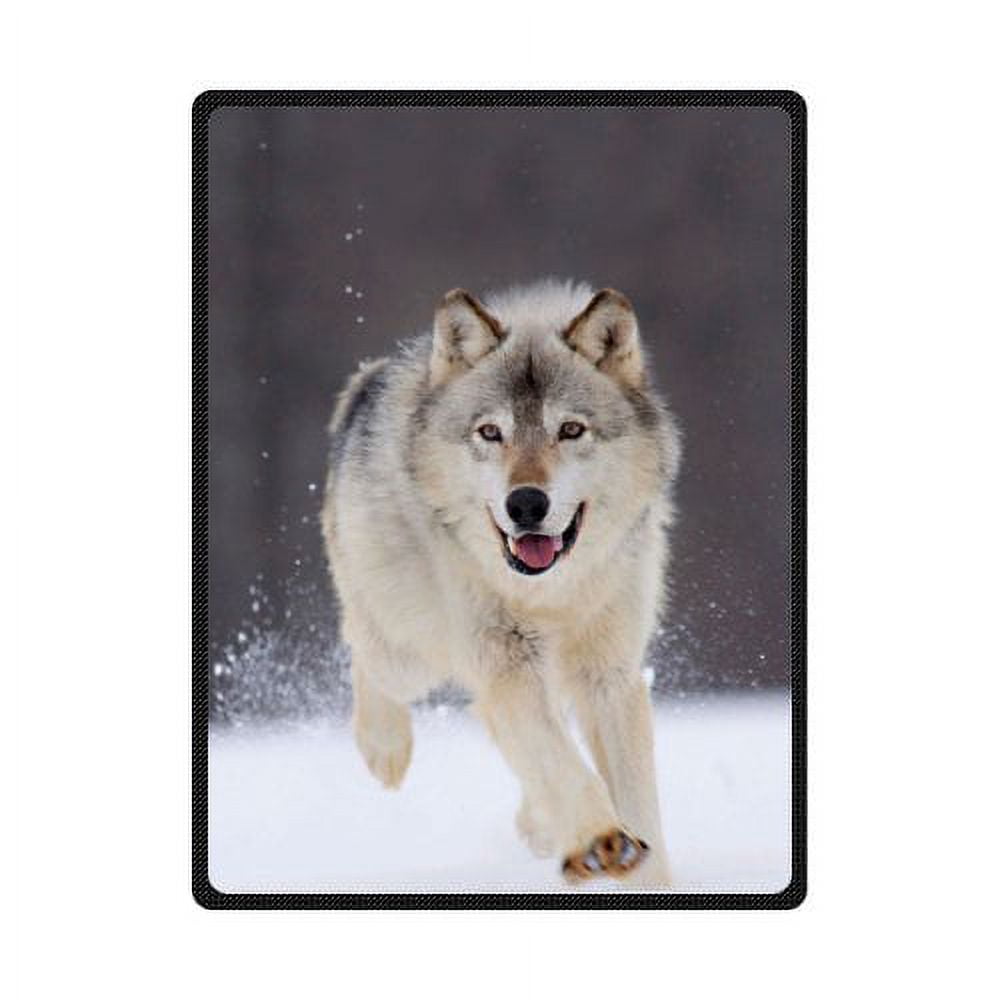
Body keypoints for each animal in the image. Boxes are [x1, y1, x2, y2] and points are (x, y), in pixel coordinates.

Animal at [321, 279, 682, 885]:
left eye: (570, 430)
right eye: (491, 432)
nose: (526, 504)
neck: (550, 594)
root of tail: (369, 381)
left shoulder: (610, 675)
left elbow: (636, 802)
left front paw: (641, 871)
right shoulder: (507, 663)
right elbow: (562, 763)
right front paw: (601, 839)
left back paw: (541, 828)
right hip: (410, 650)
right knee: (364, 651)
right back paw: (384, 749)